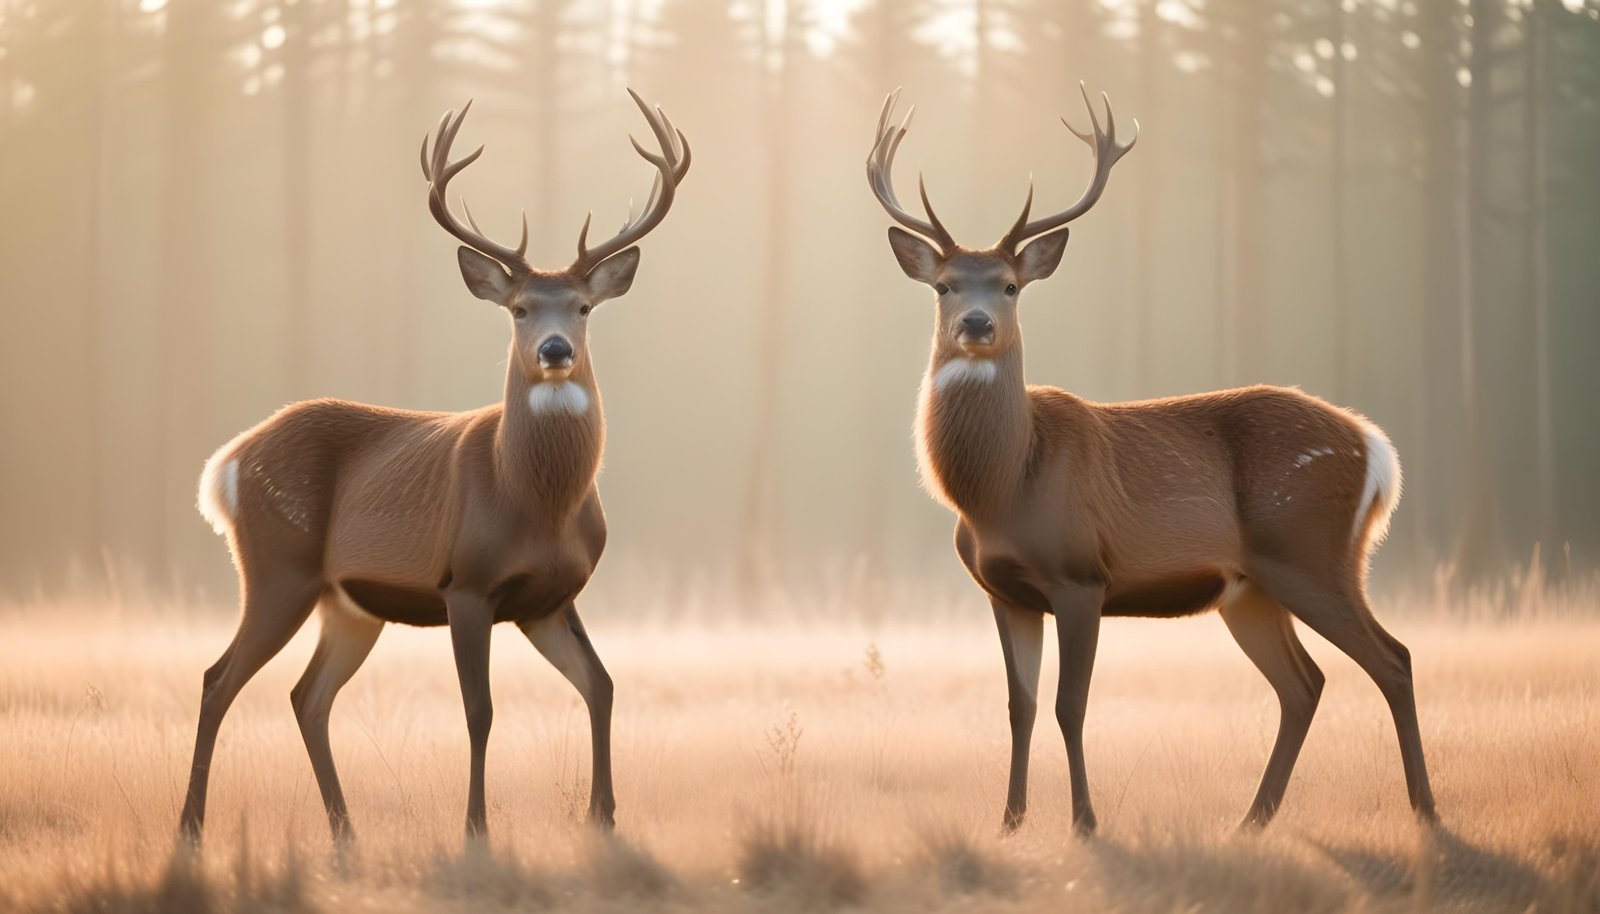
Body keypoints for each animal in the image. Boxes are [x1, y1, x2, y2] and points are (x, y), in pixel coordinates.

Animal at [179, 90, 689, 843]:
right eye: (519, 309)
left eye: (584, 306)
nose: (557, 348)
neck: (537, 501)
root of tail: (230, 462)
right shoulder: (467, 583)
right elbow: (479, 710)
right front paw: (475, 829)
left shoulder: (551, 599)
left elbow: (601, 685)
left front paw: (603, 818)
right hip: (278, 566)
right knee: (219, 678)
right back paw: (191, 827)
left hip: (348, 600)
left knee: (307, 695)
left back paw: (345, 830)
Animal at [866, 85, 1435, 836]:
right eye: (945, 286)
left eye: (1012, 285)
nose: (977, 325)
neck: (1001, 488)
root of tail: (1377, 450)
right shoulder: (1004, 592)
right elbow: (1019, 707)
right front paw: (1010, 822)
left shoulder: (1081, 576)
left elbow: (1069, 705)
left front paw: (1085, 822)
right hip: (1250, 587)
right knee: (1304, 683)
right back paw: (1251, 821)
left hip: (1310, 550)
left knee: (1392, 658)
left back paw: (1424, 810)